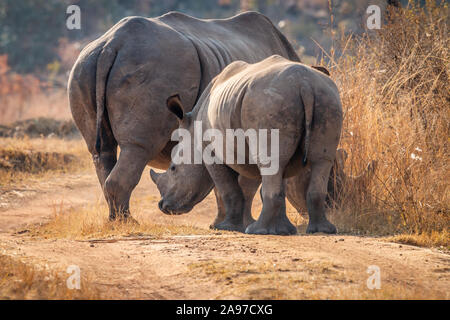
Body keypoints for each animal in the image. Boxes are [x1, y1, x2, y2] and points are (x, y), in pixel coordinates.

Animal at [68, 11, 300, 220]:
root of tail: (111, 44)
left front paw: (222, 222)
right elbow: (243, 183)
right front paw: (240, 222)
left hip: (84, 66)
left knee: (101, 151)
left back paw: (116, 221)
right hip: (154, 68)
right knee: (138, 147)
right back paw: (128, 223)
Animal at [153, 55, 342, 235]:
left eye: (173, 168)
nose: (163, 206)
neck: (192, 130)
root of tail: (304, 84)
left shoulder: (212, 152)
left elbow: (230, 190)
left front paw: (227, 227)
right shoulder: (246, 151)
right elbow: (251, 187)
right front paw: (248, 226)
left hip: (267, 102)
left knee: (272, 161)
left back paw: (259, 231)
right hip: (326, 98)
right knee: (321, 160)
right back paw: (319, 230)